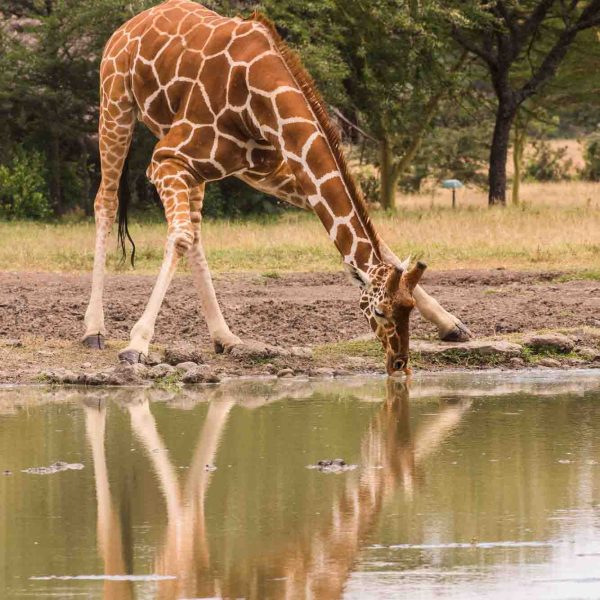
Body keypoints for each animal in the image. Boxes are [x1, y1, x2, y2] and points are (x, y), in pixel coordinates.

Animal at [82, 1, 472, 376]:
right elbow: (177, 238)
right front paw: (136, 345)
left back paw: (226, 337)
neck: (261, 98)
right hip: (115, 105)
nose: (399, 363)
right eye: (377, 312)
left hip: (201, 167)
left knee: (194, 229)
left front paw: (452, 325)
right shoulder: (166, 158)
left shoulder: (274, 171)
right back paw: (94, 330)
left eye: (407, 309)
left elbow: (383, 247)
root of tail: (129, 24)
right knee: (107, 202)